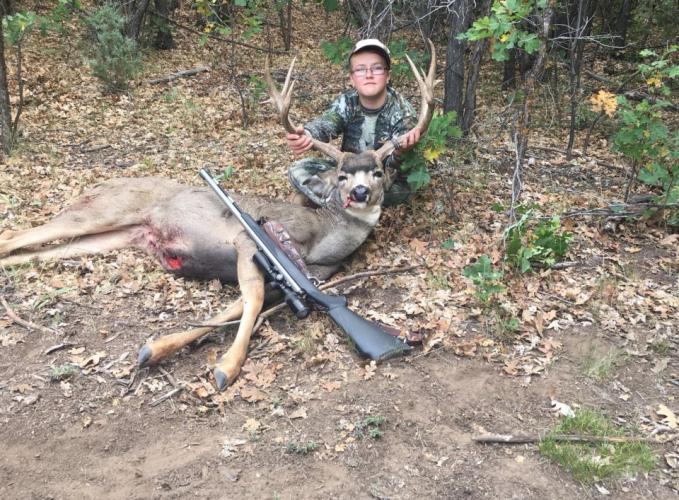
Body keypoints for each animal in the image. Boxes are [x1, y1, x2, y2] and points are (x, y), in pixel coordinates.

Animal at [0, 41, 436, 391]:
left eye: (377, 172)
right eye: (343, 175)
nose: (360, 193)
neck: (320, 240)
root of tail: (105, 183)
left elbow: (238, 306)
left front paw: (156, 349)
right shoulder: (248, 242)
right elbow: (252, 299)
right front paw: (226, 367)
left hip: (116, 236)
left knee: (35, 252)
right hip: (102, 211)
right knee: (16, 236)